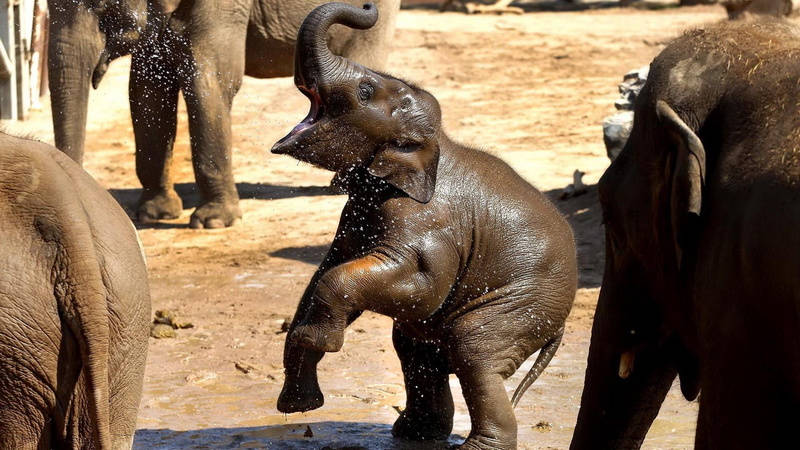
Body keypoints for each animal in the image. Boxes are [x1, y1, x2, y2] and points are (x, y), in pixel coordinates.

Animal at [48, 0, 400, 229]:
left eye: (99, 5)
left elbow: (210, 75)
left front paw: (213, 222)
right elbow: (146, 89)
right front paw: (155, 214)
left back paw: (344, 185)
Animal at [271, 3, 577, 449]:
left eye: (365, 91)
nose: (368, 8)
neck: (431, 144)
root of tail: (561, 322)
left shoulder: (429, 220)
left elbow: (421, 283)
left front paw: (319, 342)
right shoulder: (357, 214)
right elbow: (329, 270)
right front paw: (299, 397)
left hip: (525, 304)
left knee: (473, 349)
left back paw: (473, 446)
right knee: (415, 349)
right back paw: (415, 434)